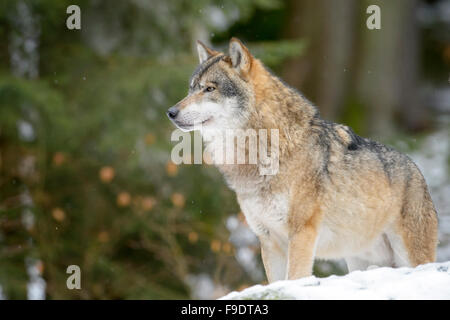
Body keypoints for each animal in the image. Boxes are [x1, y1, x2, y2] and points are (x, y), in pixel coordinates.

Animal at [165, 38, 436, 282]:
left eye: (209, 89)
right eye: (191, 88)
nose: (171, 112)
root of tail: (418, 171)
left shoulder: (302, 233)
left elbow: (295, 277)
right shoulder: (268, 239)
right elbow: (276, 282)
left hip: (410, 258)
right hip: (359, 261)